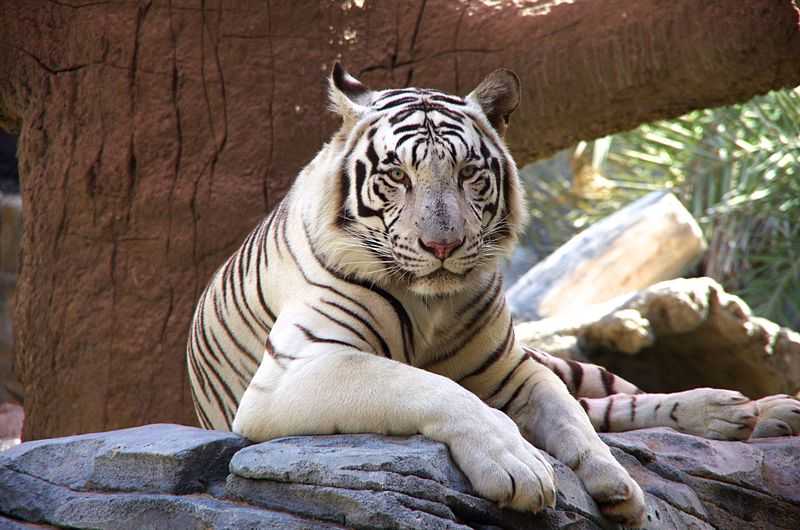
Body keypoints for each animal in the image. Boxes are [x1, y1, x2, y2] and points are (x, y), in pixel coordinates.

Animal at [189, 63, 800, 524]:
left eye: (466, 173)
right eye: (397, 176)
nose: (442, 244)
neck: (432, 302)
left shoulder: (514, 368)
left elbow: (570, 417)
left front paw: (615, 481)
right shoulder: (297, 370)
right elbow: (435, 387)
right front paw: (521, 468)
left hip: (567, 362)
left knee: (613, 399)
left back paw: (749, 410)